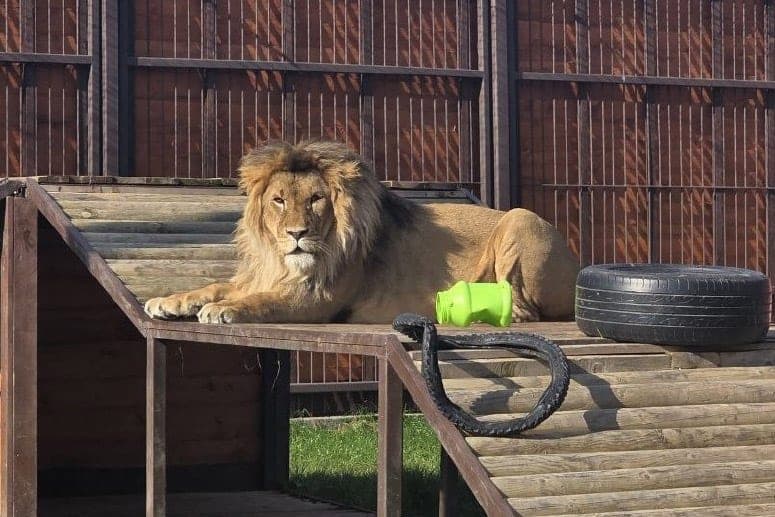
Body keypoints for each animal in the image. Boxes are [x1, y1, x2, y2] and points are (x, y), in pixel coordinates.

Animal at [144, 141, 579, 324]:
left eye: (317, 198)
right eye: (279, 200)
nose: (297, 234)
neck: (282, 261)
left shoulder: (316, 299)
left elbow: (262, 301)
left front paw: (225, 309)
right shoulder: (262, 274)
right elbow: (215, 285)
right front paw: (170, 301)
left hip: (521, 219)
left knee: (525, 310)